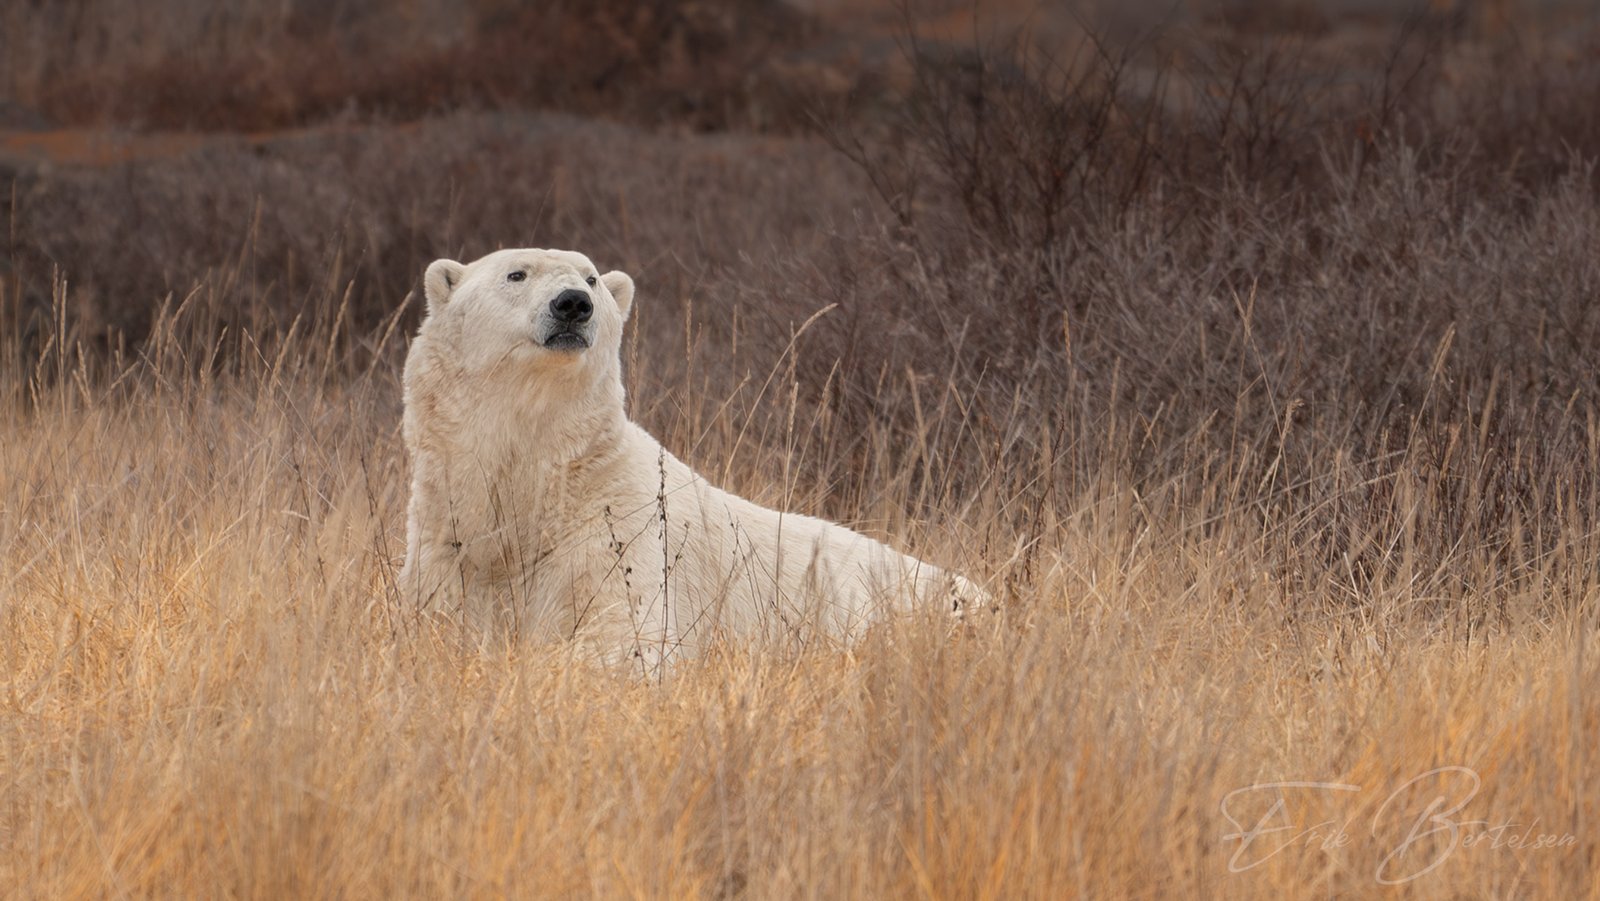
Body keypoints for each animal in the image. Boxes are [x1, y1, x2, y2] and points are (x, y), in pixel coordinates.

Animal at [399, 248, 987, 669]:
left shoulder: (619, 532)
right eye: (516, 273)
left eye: (591, 278)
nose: (572, 304)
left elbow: (624, 639)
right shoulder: (446, 540)